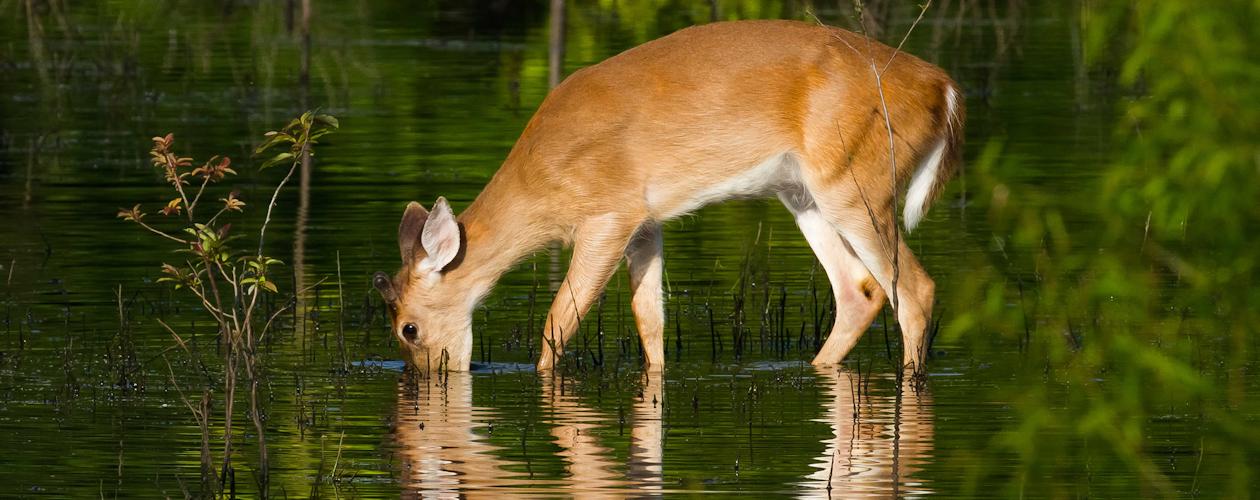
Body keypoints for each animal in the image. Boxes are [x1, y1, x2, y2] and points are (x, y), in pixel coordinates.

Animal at [370, 18, 962, 372]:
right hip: (804, 193)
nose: (427, 379)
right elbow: (648, 321)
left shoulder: (609, 212)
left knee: (916, 289)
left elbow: (559, 320)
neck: (541, 184)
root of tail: (944, 87)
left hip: (856, 181)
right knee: (860, 290)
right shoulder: (646, 222)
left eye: (408, 329)